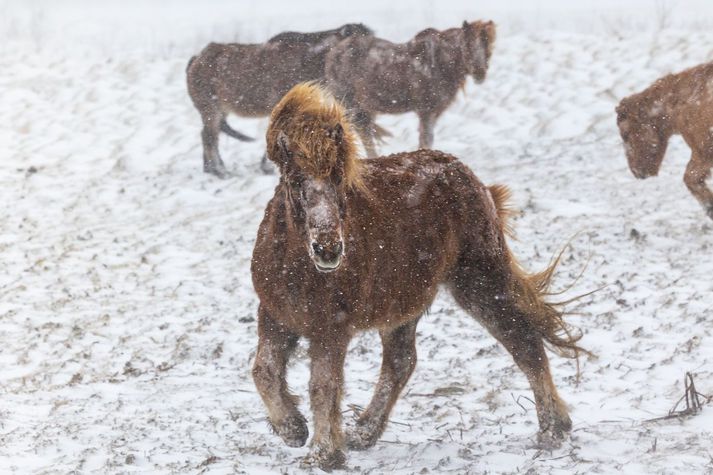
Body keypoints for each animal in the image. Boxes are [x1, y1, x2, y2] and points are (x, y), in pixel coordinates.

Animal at [184, 23, 372, 178]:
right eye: (355, 47)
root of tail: (196, 58)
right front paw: (268, 166)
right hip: (210, 109)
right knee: (209, 137)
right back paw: (220, 171)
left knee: (207, 134)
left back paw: (210, 169)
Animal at [324, 20, 496, 158]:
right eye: (467, 45)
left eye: (488, 46)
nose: (479, 73)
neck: (440, 63)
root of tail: (335, 52)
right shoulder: (426, 110)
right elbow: (426, 138)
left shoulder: (434, 112)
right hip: (351, 103)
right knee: (364, 134)